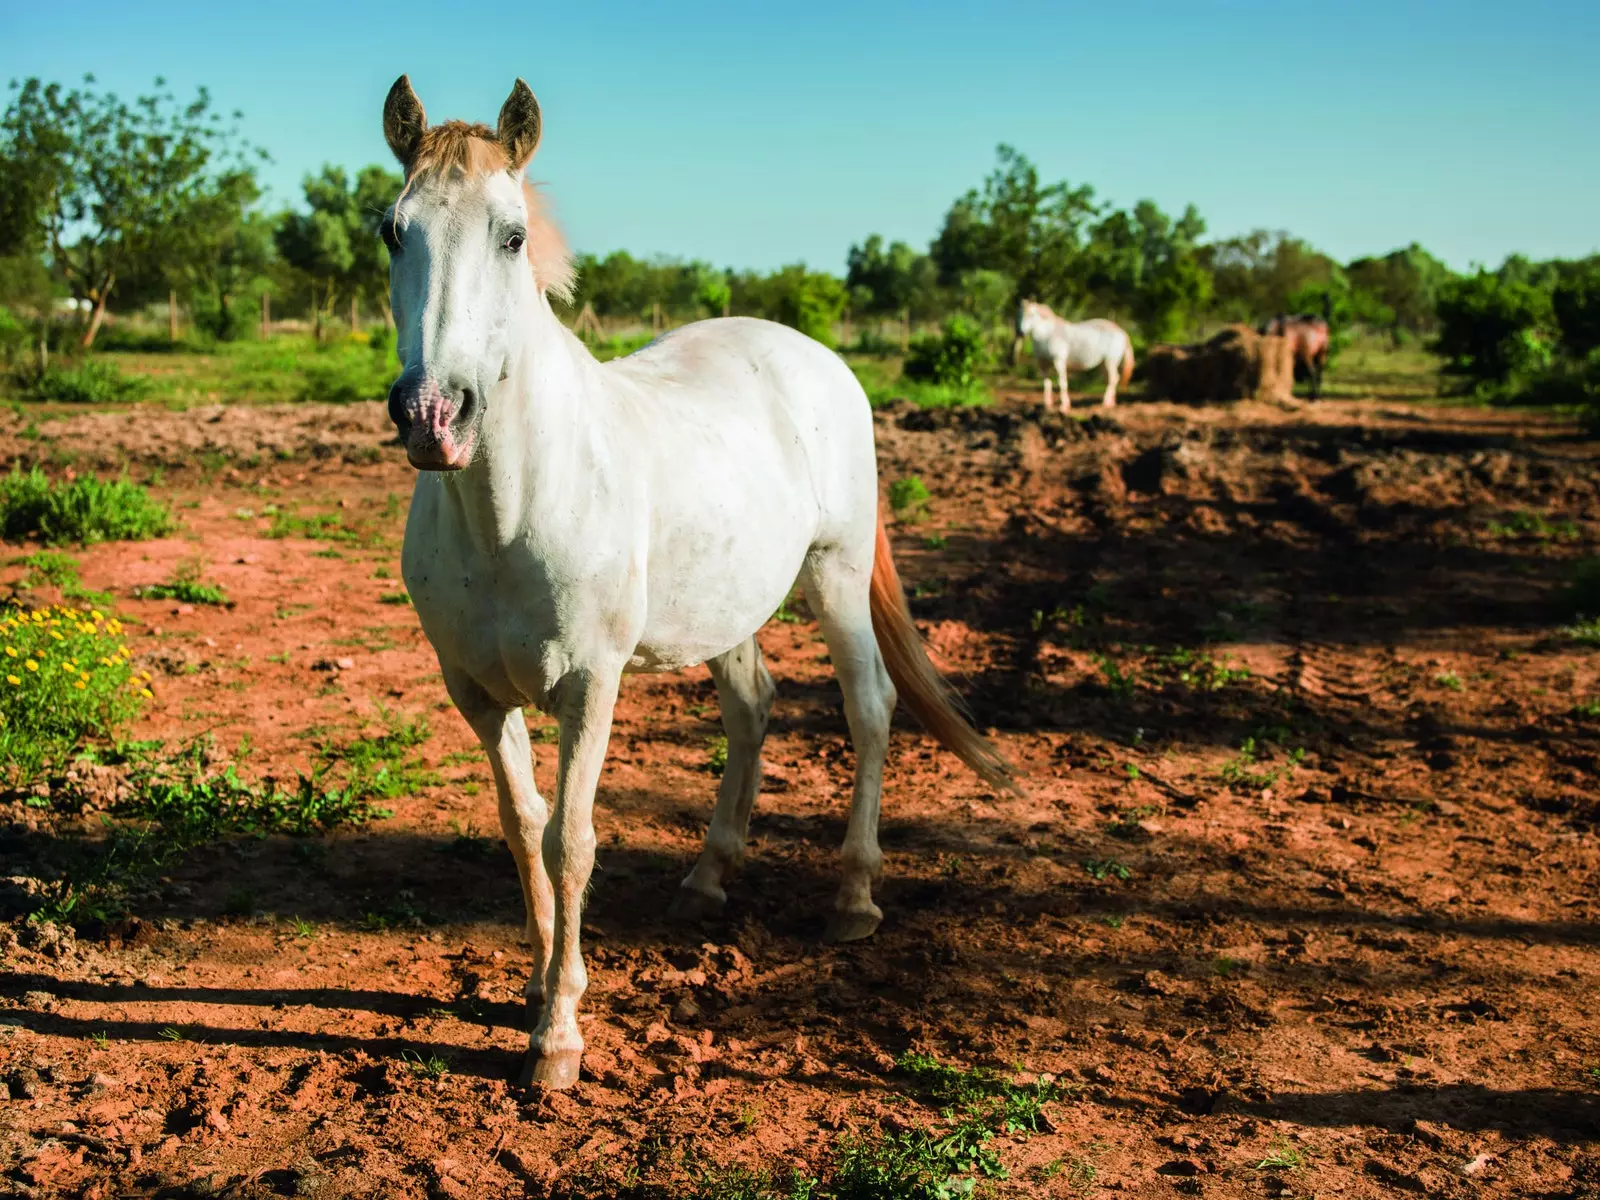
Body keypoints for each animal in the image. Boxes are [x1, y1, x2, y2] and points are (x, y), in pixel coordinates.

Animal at [377, 75, 1011, 1088]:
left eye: (512, 235)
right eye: (393, 231)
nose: (434, 415)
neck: (510, 507)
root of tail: (811, 354)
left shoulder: (589, 684)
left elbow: (570, 838)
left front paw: (559, 1037)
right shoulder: (475, 693)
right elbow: (520, 825)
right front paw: (535, 989)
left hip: (835, 577)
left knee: (870, 708)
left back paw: (853, 899)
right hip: (727, 612)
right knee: (753, 706)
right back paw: (707, 878)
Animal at [1011, 299, 1139, 412]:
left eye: (1032, 315)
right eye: (1019, 314)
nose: (1020, 333)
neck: (1047, 336)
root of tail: (1122, 331)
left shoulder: (1059, 360)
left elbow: (1062, 382)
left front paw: (1064, 406)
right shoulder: (1042, 363)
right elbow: (1046, 383)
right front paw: (1047, 405)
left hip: (1110, 360)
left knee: (1114, 378)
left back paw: (1106, 402)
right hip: (1103, 363)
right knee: (1110, 379)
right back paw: (1111, 402)